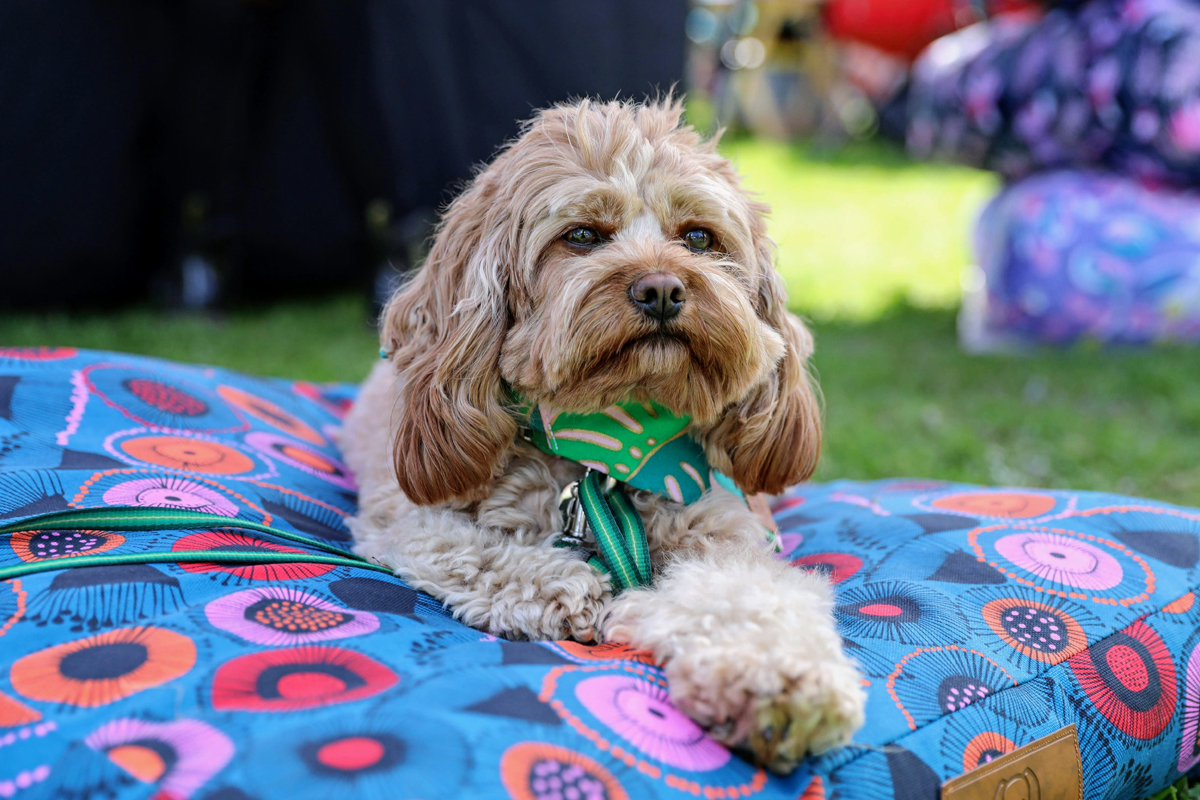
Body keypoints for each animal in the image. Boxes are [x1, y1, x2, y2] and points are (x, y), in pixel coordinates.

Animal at [343, 97, 868, 772]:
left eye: (699, 237)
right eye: (583, 236)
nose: (662, 289)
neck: (612, 452)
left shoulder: (726, 534)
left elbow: (752, 598)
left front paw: (780, 685)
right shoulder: (403, 518)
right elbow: (463, 549)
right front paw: (568, 585)